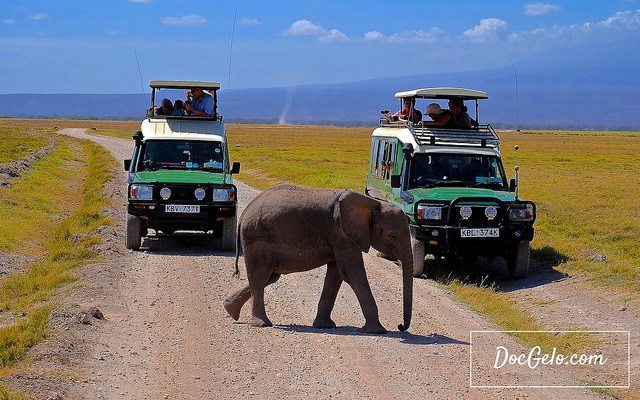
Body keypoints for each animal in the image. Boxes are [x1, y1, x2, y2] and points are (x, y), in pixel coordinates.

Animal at [224, 185, 416, 334]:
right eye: (392, 236)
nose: (400, 326)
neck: (372, 203)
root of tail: (244, 213)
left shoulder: (340, 238)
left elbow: (336, 275)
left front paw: (325, 326)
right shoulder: (342, 234)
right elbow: (353, 275)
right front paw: (377, 330)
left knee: (269, 277)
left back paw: (230, 309)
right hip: (256, 240)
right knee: (259, 277)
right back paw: (262, 324)